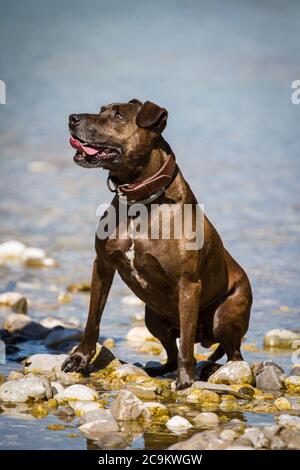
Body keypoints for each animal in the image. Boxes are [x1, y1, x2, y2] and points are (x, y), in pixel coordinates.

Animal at [62, 98, 252, 390]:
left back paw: (212, 370)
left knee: (234, 355)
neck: (140, 200)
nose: (72, 118)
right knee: (171, 352)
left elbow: (186, 343)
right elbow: (93, 318)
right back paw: (157, 370)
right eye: (102, 109)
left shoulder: (189, 284)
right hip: (153, 319)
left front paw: (186, 380)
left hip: (224, 315)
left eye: (117, 114)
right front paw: (80, 358)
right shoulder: (102, 265)